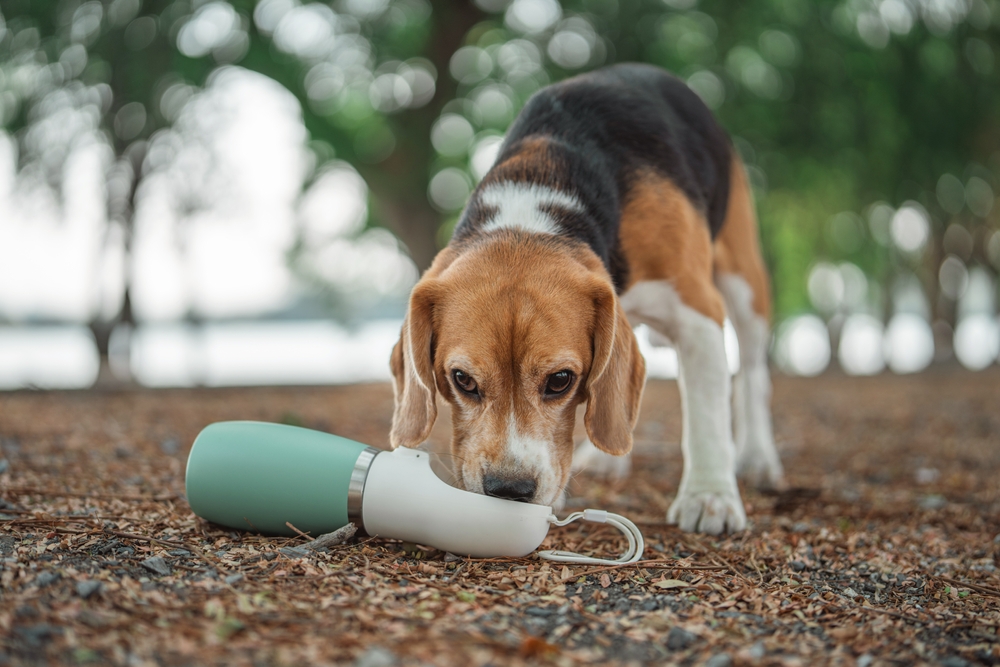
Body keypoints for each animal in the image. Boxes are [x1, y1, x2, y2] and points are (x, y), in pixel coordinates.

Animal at [388, 61, 780, 532]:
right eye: (462, 379)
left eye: (561, 380)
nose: (509, 490)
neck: (537, 200)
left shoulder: (697, 312)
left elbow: (706, 418)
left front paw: (710, 497)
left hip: (743, 285)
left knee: (754, 374)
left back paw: (757, 457)